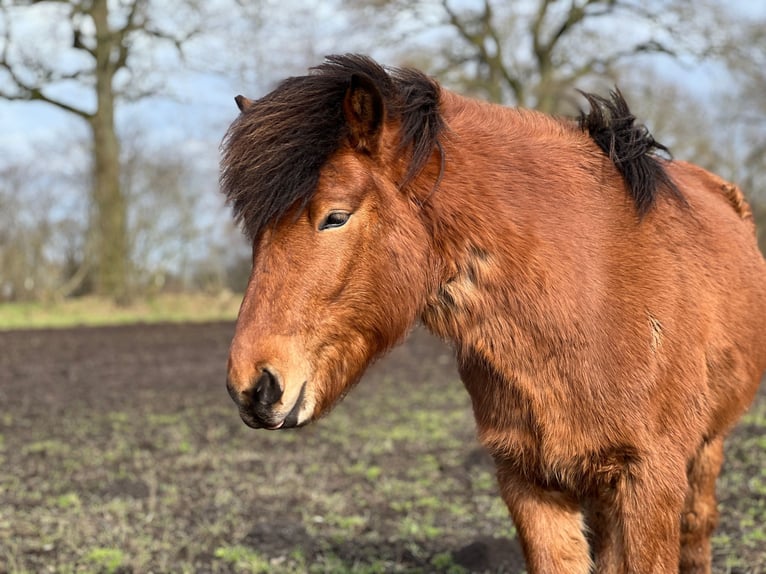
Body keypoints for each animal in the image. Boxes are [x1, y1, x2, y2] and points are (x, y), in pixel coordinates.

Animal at [220, 55, 766, 574]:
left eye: (335, 217)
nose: (253, 385)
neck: (593, 298)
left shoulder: (651, 479)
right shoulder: (528, 481)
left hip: (706, 450)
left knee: (698, 527)